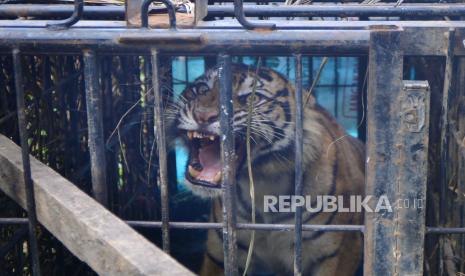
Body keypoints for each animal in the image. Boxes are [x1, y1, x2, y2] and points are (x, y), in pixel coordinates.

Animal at [167, 63, 362, 274]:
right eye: (202, 89)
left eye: (252, 97)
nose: (203, 115)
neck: (263, 185)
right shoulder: (218, 253)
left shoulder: (336, 254)